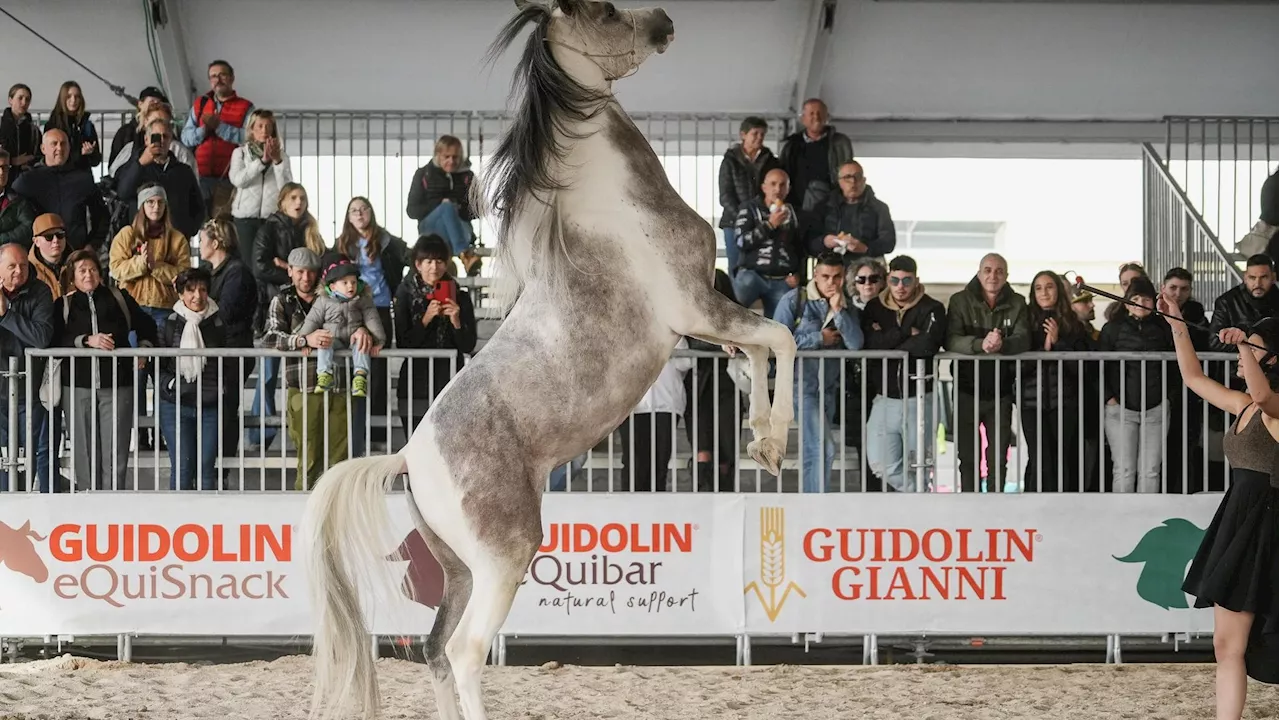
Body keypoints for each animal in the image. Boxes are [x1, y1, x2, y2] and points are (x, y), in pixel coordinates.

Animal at [304, 1, 793, 717]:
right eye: (604, 11)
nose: (663, 20)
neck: (616, 204)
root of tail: (410, 455)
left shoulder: (707, 319)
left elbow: (752, 355)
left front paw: (762, 442)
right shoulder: (696, 308)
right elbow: (782, 339)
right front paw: (775, 440)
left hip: (457, 568)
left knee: (433, 650)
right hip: (505, 558)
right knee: (464, 652)